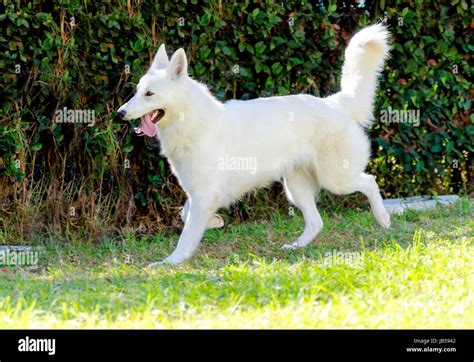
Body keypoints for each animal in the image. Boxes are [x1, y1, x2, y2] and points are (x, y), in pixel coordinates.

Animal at [116, 23, 390, 266]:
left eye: (149, 94)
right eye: (137, 91)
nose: (120, 113)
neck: (192, 122)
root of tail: (335, 102)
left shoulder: (204, 194)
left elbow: (186, 236)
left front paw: (171, 262)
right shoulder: (199, 193)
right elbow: (185, 214)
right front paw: (215, 222)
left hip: (335, 179)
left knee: (369, 181)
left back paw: (384, 219)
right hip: (296, 187)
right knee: (316, 222)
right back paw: (296, 247)